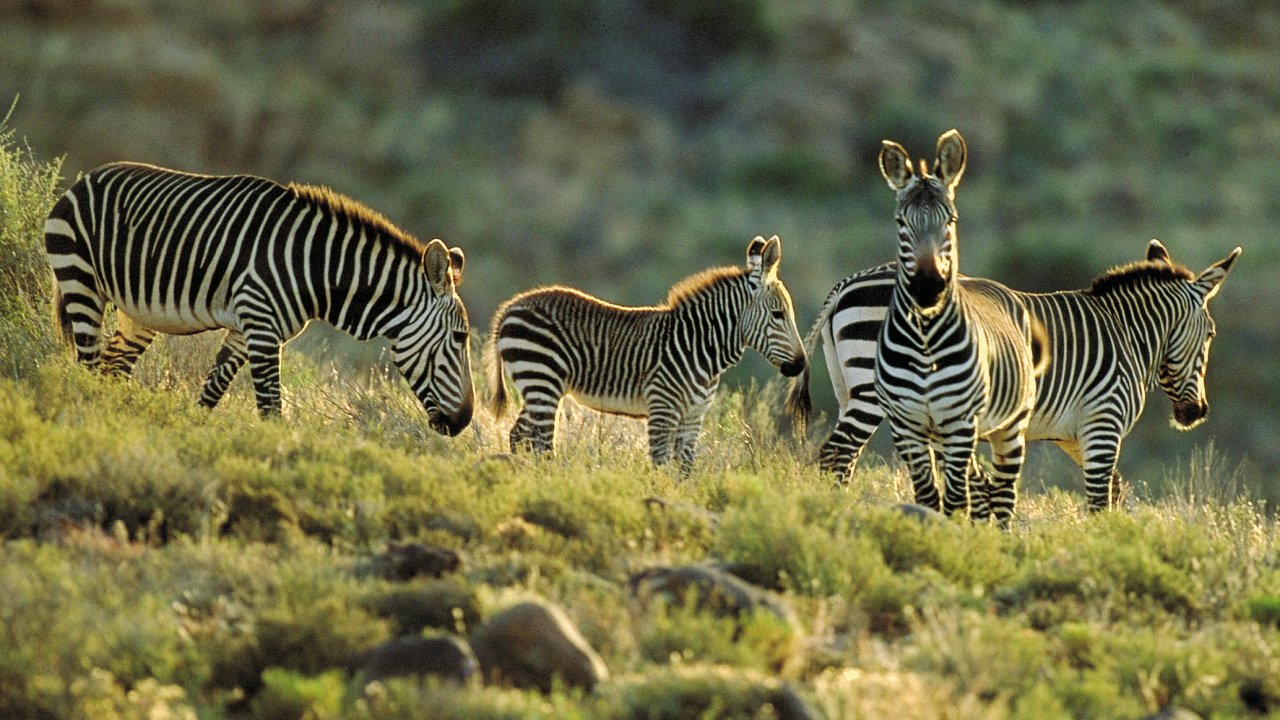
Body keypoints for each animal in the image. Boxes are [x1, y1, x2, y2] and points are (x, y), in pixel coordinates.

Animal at [44, 162, 475, 435]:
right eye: (460, 338)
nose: (466, 421)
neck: (315, 266)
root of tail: (84, 179)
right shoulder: (262, 326)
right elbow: (271, 411)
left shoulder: (247, 329)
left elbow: (212, 391)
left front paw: (195, 436)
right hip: (80, 280)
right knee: (87, 366)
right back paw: (88, 424)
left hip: (137, 315)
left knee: (111, 369)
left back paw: (111, 422)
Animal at [487, 235, 806, 472]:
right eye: (778, 315)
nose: (801, 364)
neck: (698, 346)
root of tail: (509, 307)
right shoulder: (662, 410)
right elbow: (661, 468)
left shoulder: (693, 417)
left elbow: (685, 472)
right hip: (542, 380)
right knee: (541, 445)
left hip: (539, 385)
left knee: (519, 436)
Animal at [788, 239, 1240, 512]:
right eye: (1212, 335)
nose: (1196, 413)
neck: (1127, 333)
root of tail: (848, 282)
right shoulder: (1103, 422)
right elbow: (1100, 498)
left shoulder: (1070, 436)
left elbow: (1113, 491)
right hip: (873, 391)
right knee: (837, 454)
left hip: (850, 388)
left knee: (842, 457)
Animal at [868, 130, 1047, 523]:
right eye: (901, 223)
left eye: (950, 220)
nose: (928, 287)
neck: (924, 340)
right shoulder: (906, 424)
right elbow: (927, 496)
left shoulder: (960, 421)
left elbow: (953, 501)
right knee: (983, 490)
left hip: (1010, 426)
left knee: (1004, 495)